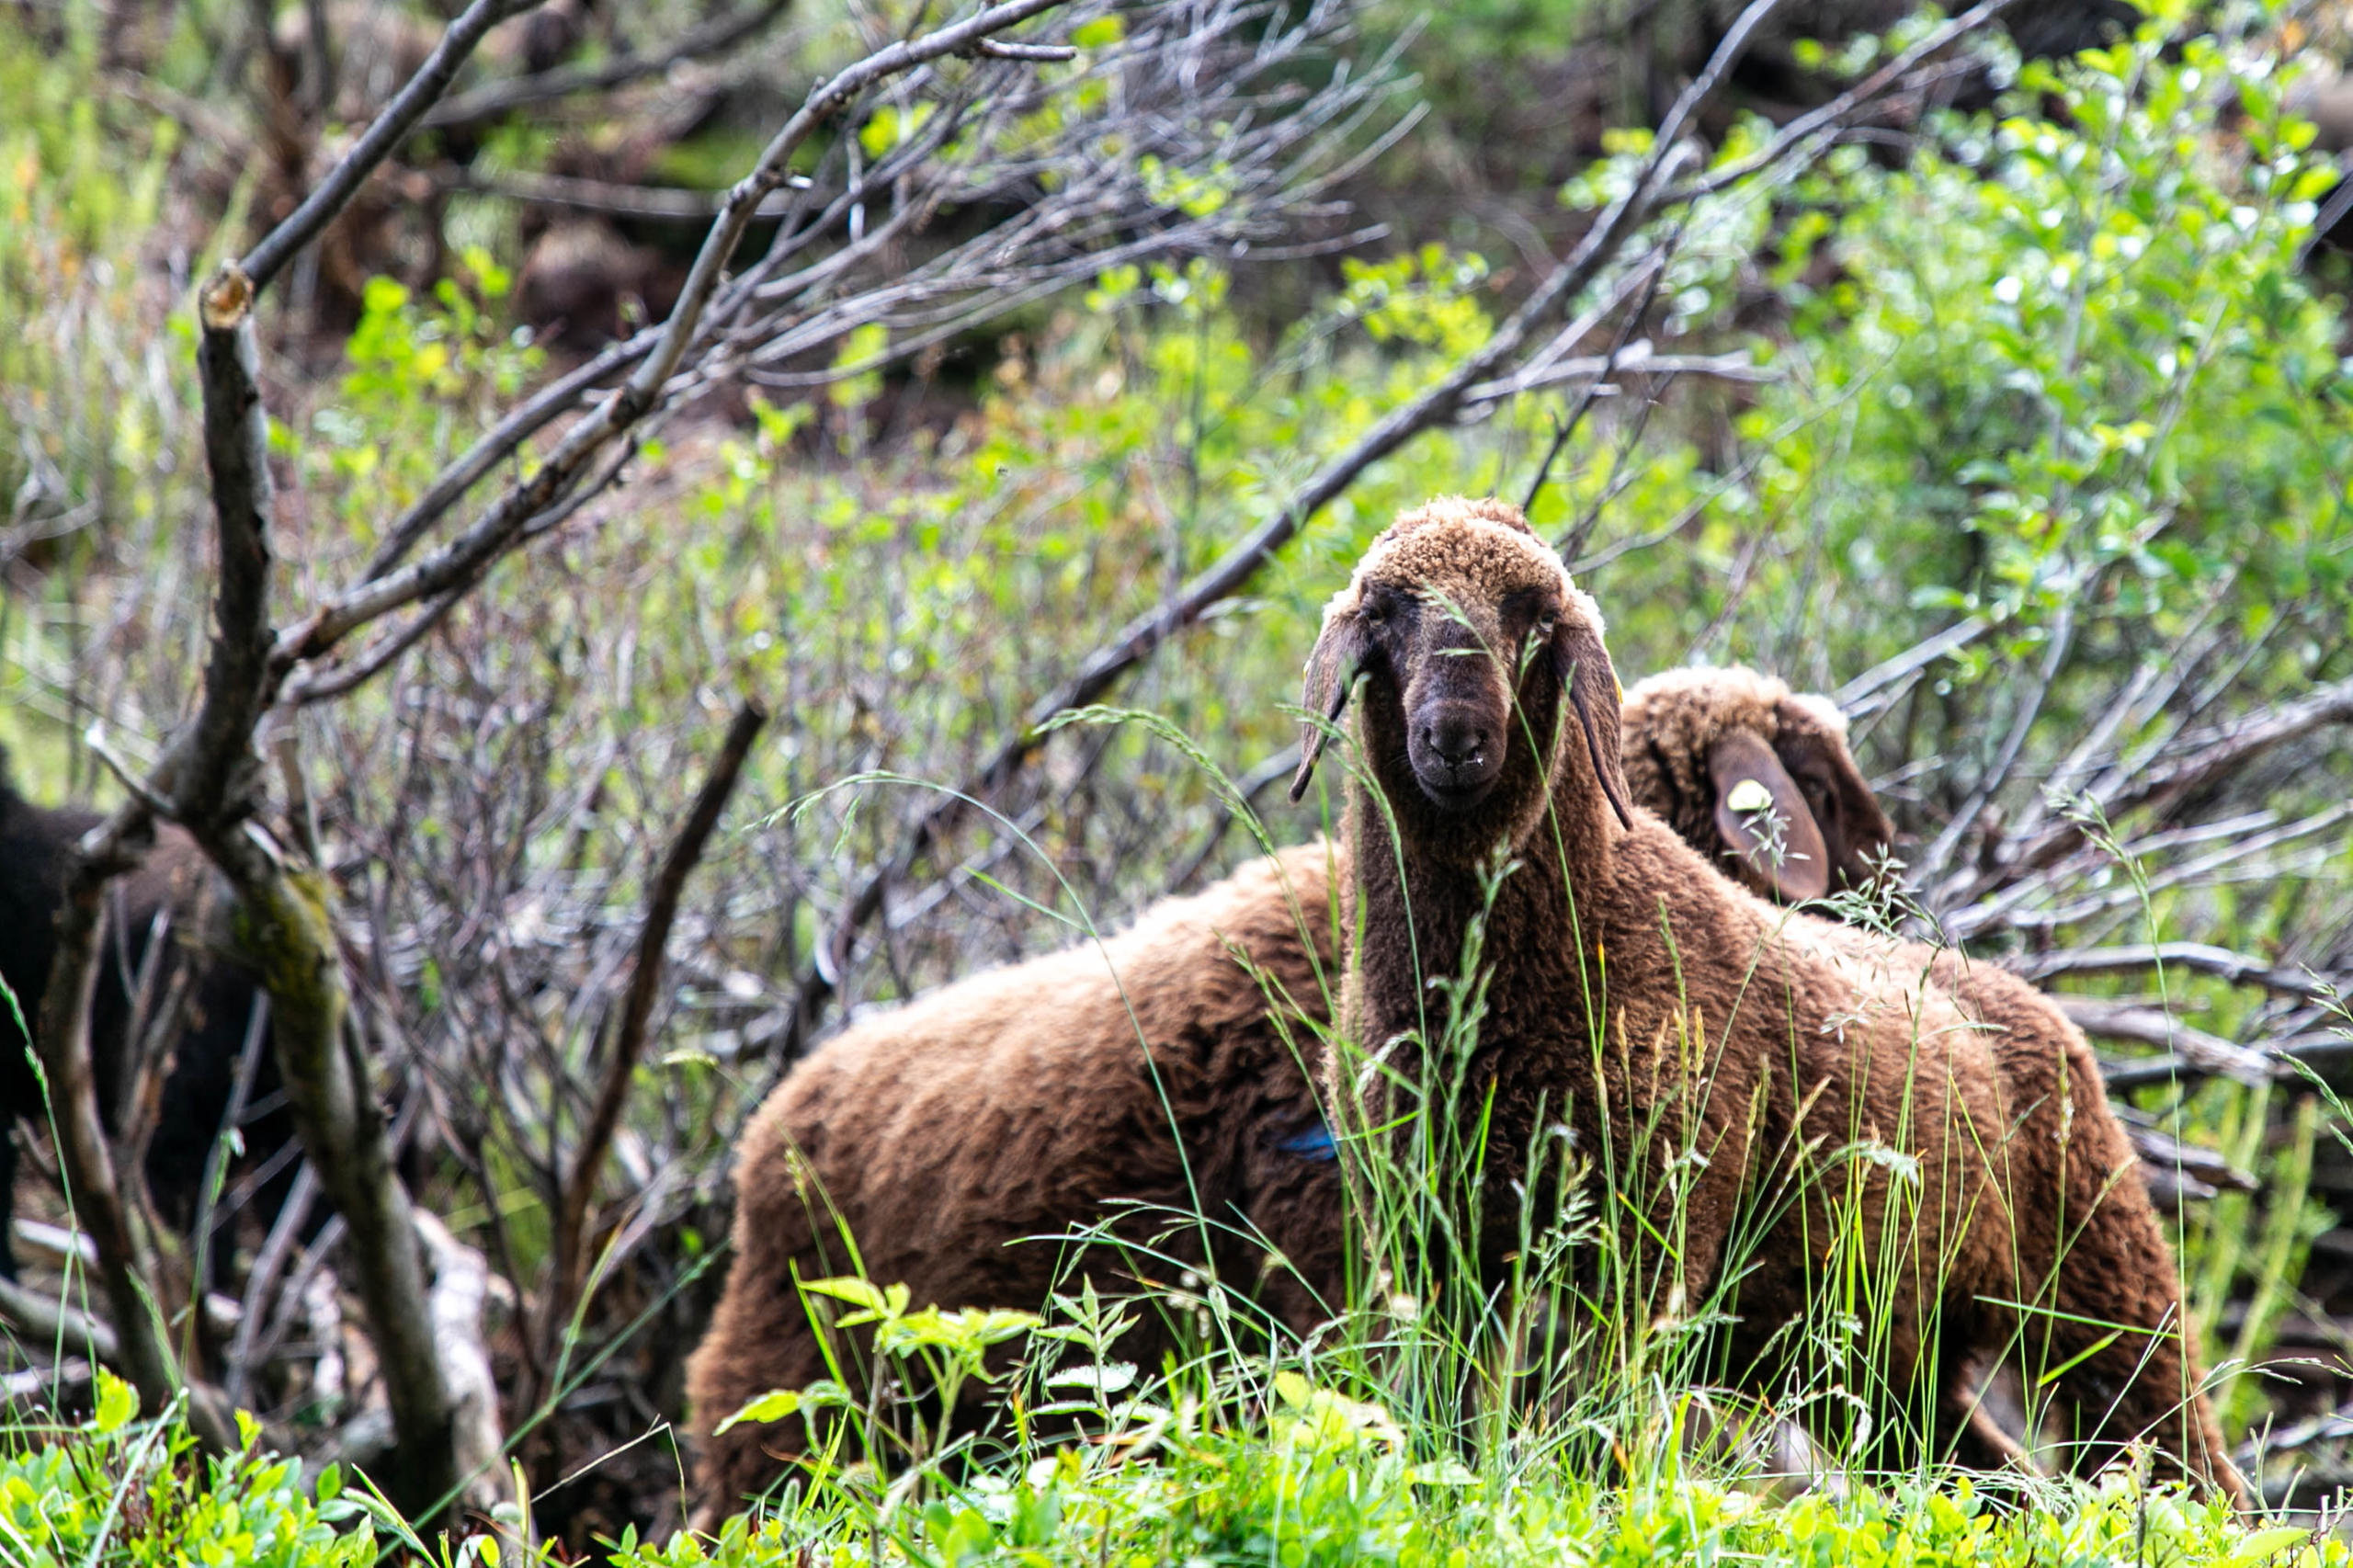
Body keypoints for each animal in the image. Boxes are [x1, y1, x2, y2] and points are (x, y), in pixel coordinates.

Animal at [1308, 494, 2240, 1497]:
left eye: (1536, 616)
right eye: (1385, 610)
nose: (1455, 739)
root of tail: (2029, 1003)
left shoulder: (1646, 1249)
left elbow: (1594, 1436)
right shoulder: (1425, 1245)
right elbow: (1443, 1419)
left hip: (2100, 1269)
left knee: (2176, 1447)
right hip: (1880, 1352)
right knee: (1985, 1479)